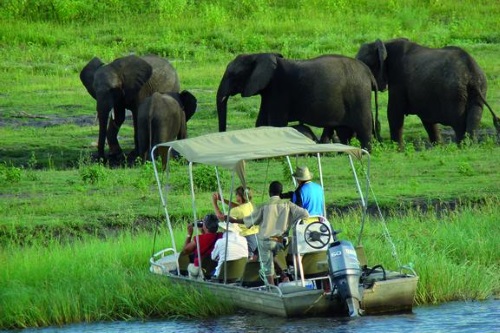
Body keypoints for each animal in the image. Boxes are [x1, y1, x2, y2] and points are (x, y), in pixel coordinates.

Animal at [217, 52, 380, 151]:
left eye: (233, 74)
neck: (258, 55)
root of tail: (370, 74)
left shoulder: (280, 89)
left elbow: (276, 123)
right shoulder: (268, 91)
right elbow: (261, 122)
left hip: (359, 95)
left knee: (363, 127)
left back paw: (366, 151)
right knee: (344, 130)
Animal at [356, 38, 500, 145]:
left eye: (366, 64)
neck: (385, 44)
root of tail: (471, 73)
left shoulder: (399, 81)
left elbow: (393, 112)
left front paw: (398, 149)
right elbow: (427, 119)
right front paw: (438, 146)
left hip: (455, 93)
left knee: (459, 123)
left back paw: (462, 146)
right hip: (480, 88)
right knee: (474, 119)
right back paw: (470, 146)